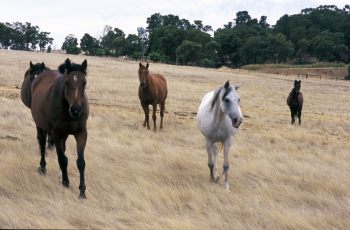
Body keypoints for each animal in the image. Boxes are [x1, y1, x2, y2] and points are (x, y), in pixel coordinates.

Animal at [30, 58, 89, 199]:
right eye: (67, 82)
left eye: (84, 82)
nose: (76, 110)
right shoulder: (56, 134)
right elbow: (62, 159)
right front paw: (66, 183)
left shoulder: (81, 133)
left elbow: (80, 162)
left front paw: (82, 191)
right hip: (41, 127)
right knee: (42, 145)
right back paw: (43, 168)